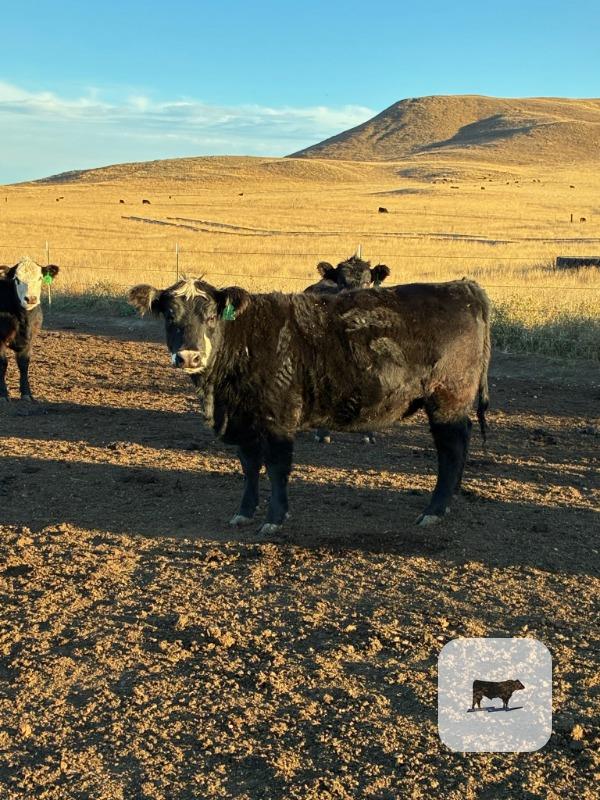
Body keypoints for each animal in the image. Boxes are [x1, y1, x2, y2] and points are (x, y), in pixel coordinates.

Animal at [0, 257, 59, 401]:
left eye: (40, 278)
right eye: (17, 279)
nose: (31, 299)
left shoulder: (30, 340)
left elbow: (24, 364)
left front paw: (27, 394)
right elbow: (2, 364)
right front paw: (3, 395)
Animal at [129, 276, 491, 533]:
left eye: (210, 317)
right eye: (170, 315)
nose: (189, 356)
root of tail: (463, 287)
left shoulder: (278, 418)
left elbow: (277, 466)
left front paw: (274, 518)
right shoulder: (244, 420)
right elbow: (249, 466)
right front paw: (244, 512)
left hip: (446, 398)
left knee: (451, 449)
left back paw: (434, 510)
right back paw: (449, 500)